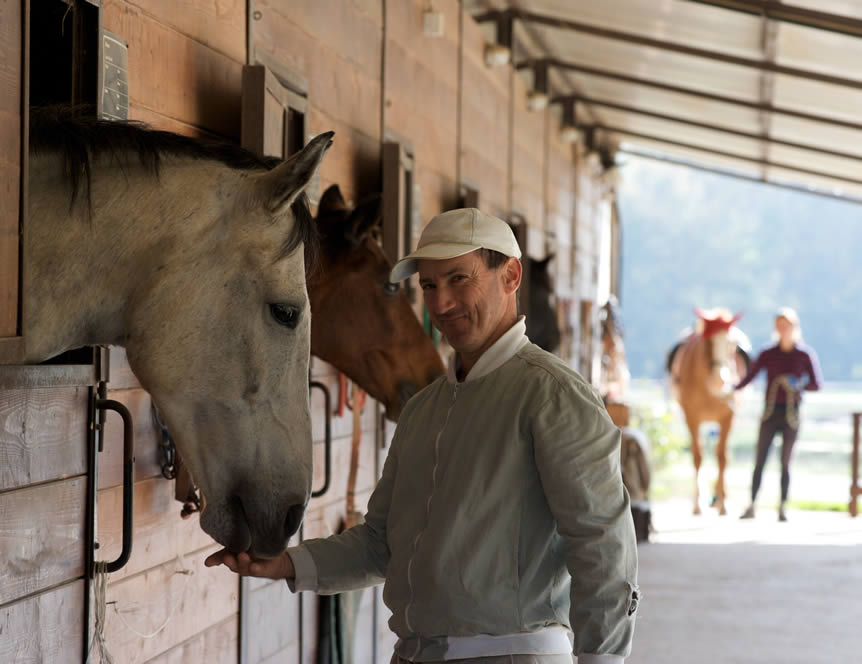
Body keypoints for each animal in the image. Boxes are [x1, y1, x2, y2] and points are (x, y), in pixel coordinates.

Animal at [668, 308, 748, 516]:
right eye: (707, 342)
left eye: (732, 344)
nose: (720, 380)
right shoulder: (691, 416)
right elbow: (698, 455)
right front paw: (697, 503)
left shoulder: (728, 416)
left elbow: (722, 456)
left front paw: (723, 503)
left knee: (722, 452)